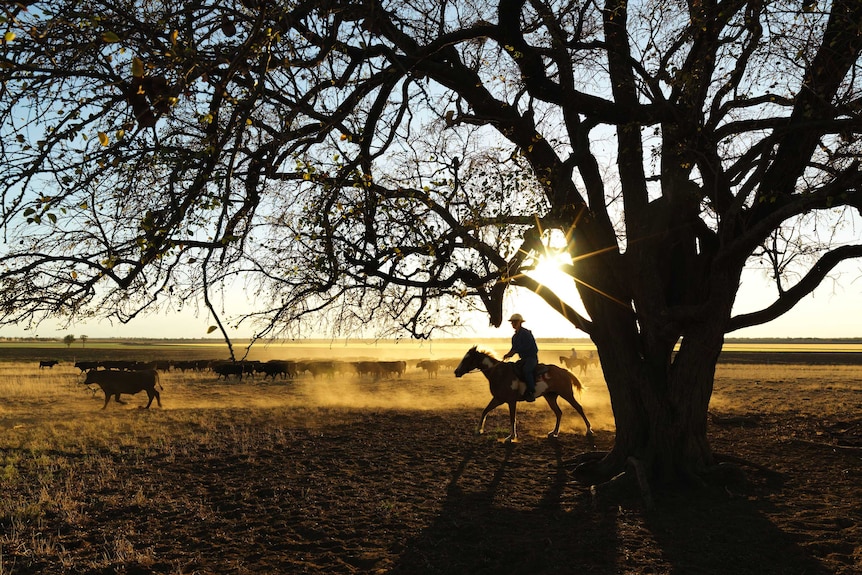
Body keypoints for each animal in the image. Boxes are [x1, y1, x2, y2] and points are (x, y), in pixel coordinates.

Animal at [452, 346, 592, 446]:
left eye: (467, 358)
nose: (456, 372)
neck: (499, 373)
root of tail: (564, 371)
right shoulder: (498, 399)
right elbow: (485, 411)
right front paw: (478, 430)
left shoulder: (511, 401)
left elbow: (512, 418)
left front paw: (511, 437)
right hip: (550, 397)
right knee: (558, 412)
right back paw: (554, 433)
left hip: (567, 394)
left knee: (579, 408)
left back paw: (589, 430)